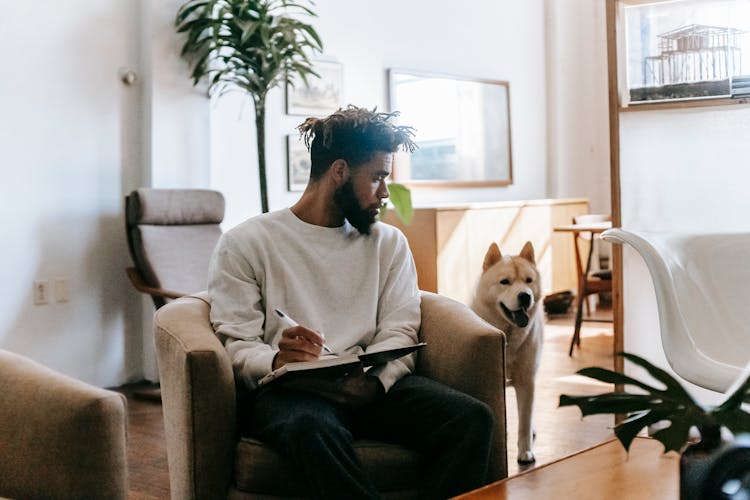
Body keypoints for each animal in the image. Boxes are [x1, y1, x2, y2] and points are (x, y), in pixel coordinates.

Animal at [472, 242, 544, 464]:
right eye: (505, 282)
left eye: (528, 281)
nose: (525, 296)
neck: (508, 337)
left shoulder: (527, 381)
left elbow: (524, 422)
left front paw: (525, 452)